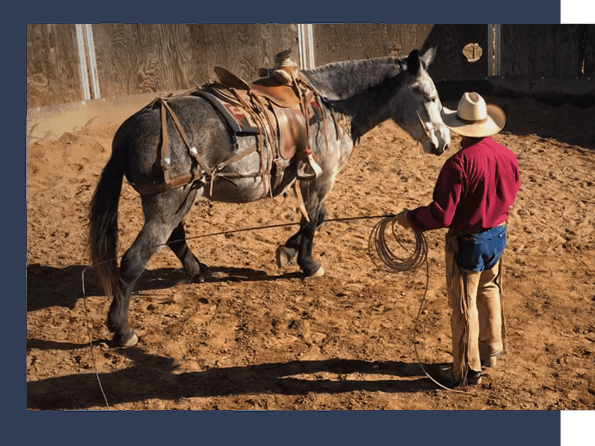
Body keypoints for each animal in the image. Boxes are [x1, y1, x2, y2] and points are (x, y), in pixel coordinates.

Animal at [87, 42, 452, 348]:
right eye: (427, 96)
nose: (444, 143)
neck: (332, 103)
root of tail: (132, 128)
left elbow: (312, 220)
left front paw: (288, 252)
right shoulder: (321, 177)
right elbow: (314, 220)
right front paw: (307, 263)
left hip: (179, 200)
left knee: (175, 239)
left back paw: (198, 270)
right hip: (168, 204)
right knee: (134, 260)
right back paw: (122, 329)